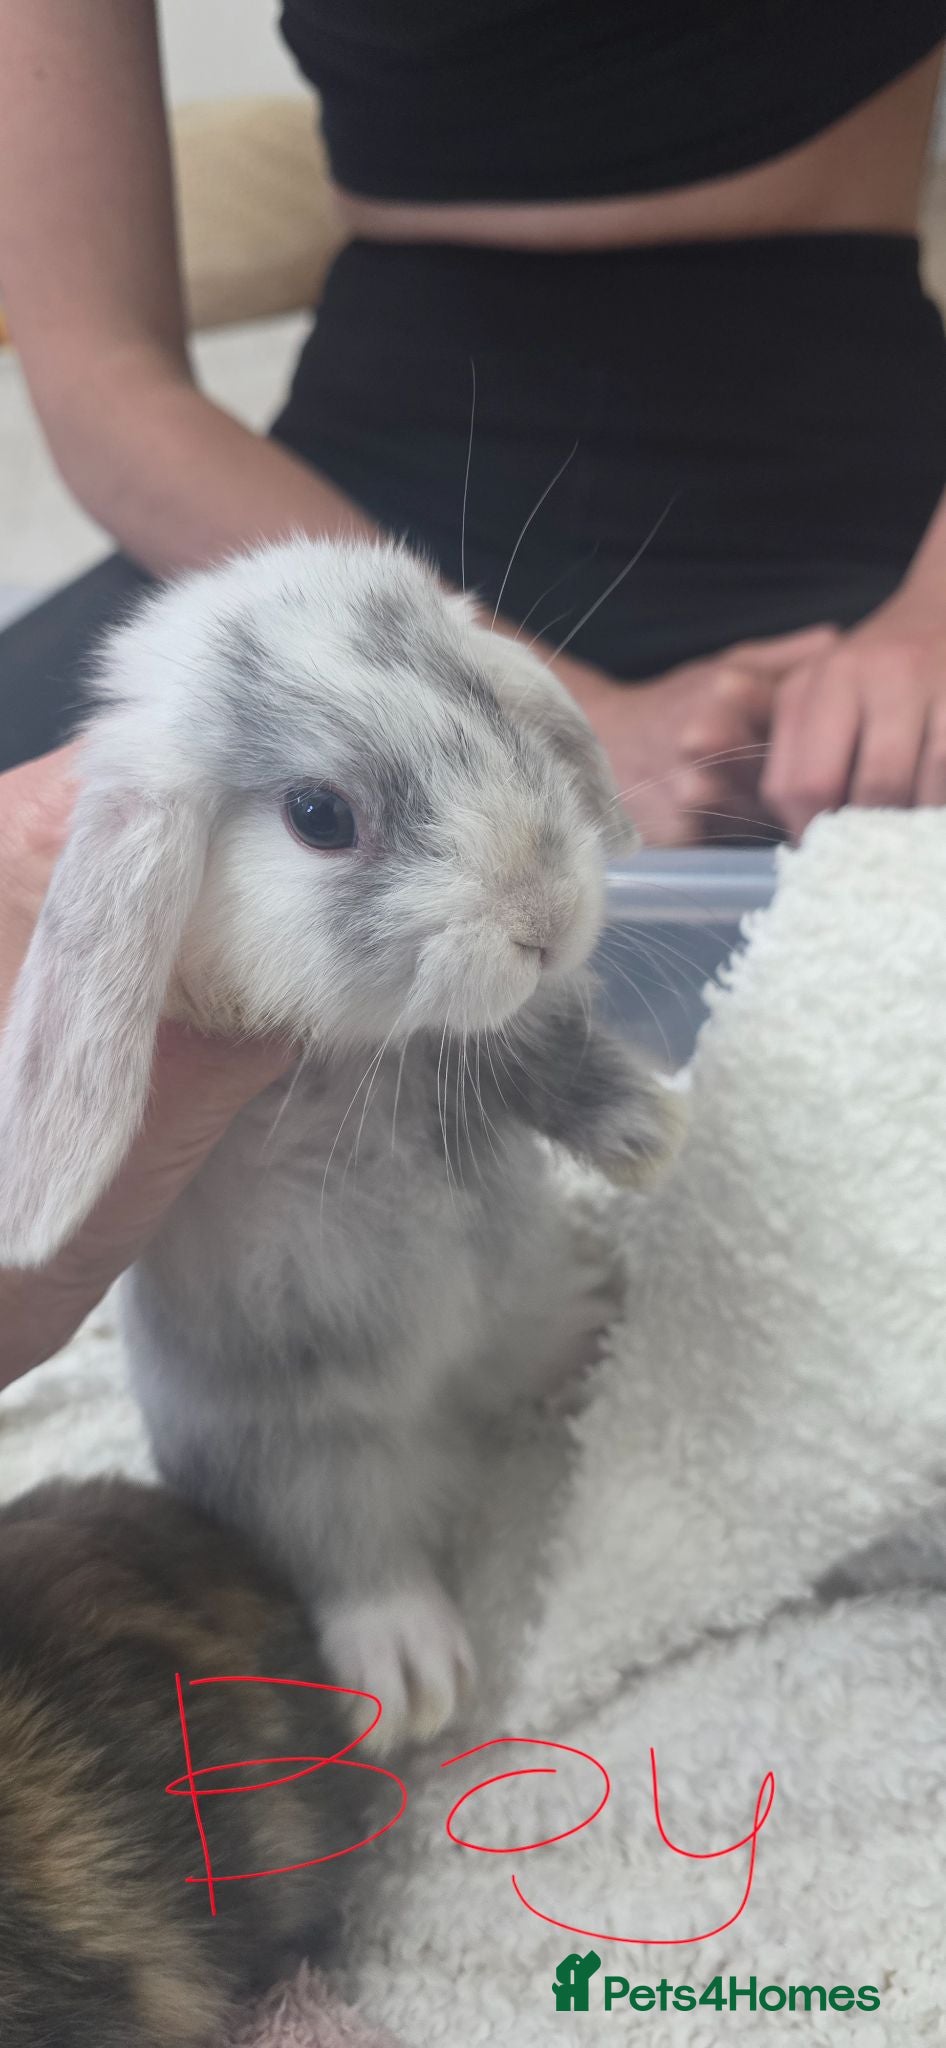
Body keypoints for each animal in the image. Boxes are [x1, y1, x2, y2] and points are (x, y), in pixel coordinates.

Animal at [0, 539, 681, 1751]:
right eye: (318, 814)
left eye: (490, 709)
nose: (547, 917)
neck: (358, 1061)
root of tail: (449, 1408)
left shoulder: (466, 1047)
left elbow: (532, 1061)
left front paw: (647, 1131)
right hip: (298, 1458)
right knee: (357, 1552)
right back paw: (413, 1682)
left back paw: (591, 1321)